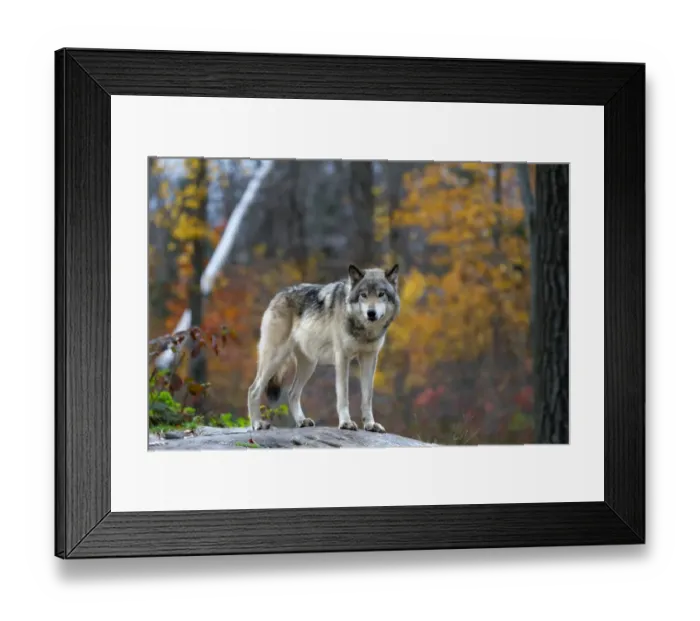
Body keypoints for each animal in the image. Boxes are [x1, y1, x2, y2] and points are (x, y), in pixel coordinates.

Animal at [247, 264, 400, 433]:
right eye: (363, 295)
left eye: (381, 294)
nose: (371, 313)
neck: (364, 330)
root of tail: (277, 296)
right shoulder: (342, 358)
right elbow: (343, 395)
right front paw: (346, 423)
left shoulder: (369, 357)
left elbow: (367, 397)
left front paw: (370, 424)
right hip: (275, 359)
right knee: (253, 389)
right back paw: (257, 423)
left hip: (309, 365)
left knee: (292, 393)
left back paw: (302, 421)